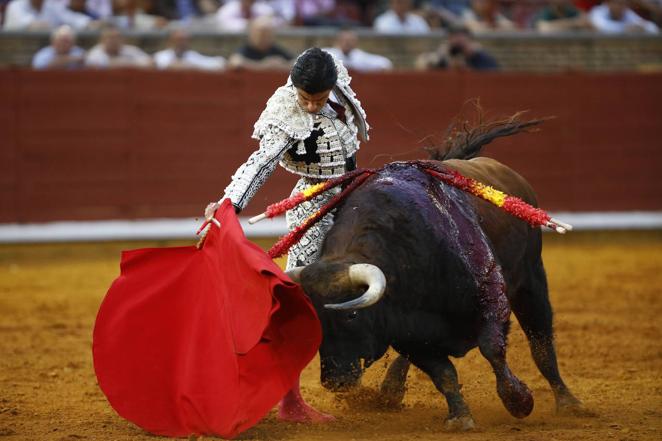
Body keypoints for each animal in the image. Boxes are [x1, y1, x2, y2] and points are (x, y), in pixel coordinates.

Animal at [296, 159, 588, 430]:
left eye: (353, 314)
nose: (335, 380)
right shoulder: (409, 335)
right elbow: (444, 374)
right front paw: (460, 417)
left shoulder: (491, 301)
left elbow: (493, 350)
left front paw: (519, 401)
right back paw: (390, 391)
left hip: (531, 280)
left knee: (541, 343)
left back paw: (569, 404)